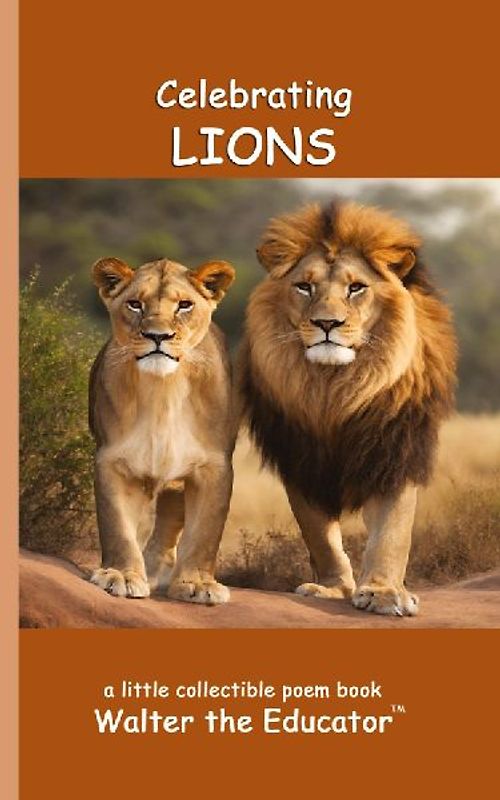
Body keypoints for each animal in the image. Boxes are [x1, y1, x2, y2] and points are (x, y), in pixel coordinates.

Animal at [89, 255, 236, 605]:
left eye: (184, 305)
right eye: (135, 304)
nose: (158, 336)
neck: (163, 389)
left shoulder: (214, 467)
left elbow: (205, 533)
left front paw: (197, 583)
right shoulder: (112, 460)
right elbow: (117, 527)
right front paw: (121, 575)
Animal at [239, 201, 456, 616]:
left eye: (356, 288)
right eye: (304, 286)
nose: (327, 323)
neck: (333, 389)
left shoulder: (394, 451)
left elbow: (392, 531)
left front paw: (384, 592)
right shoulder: (300, 458)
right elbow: (320, 536)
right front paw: (333, 588)